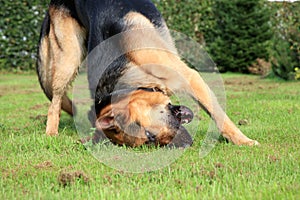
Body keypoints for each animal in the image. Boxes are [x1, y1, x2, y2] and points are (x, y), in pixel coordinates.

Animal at [37, 0, 258, 147]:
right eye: (151, 141)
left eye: (149, 134)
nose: (184, 144)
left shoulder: (191, 77)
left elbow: (219, 117)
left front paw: (243, 141)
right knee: (55, 101)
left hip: (69, 59)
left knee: (55, 101)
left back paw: (50, 133)